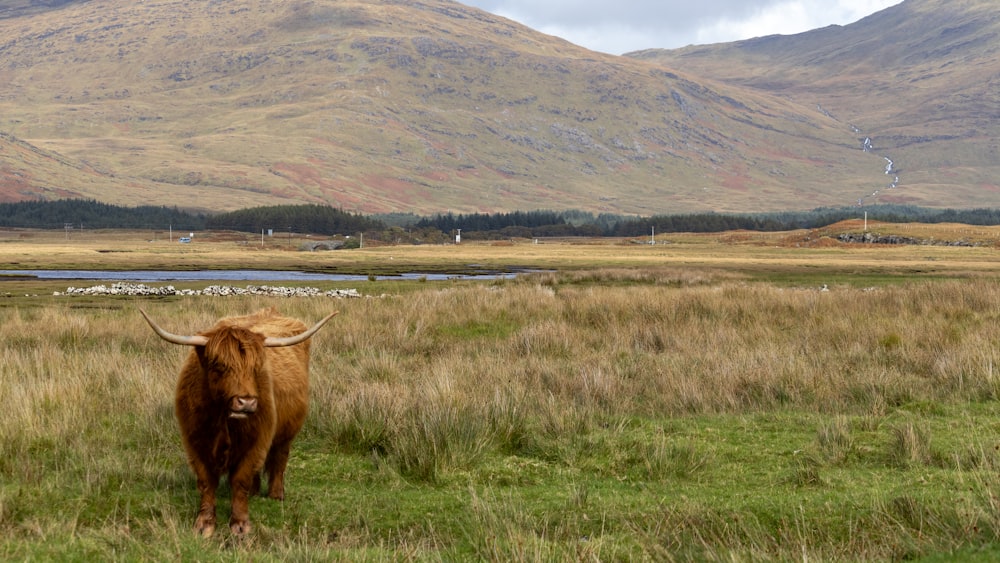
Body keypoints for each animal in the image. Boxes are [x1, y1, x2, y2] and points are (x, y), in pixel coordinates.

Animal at [140, 308, 336, 536]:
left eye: (256, 367)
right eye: (218, 366)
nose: (247, 402)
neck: (223, 421)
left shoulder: (256, 441)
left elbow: (240, 479)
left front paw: (240, 525)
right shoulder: (195, 443)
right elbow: (206, 481)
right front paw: (204, 524)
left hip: (287, 433)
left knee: (279, 459)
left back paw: (276, 495)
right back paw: (255, 491)